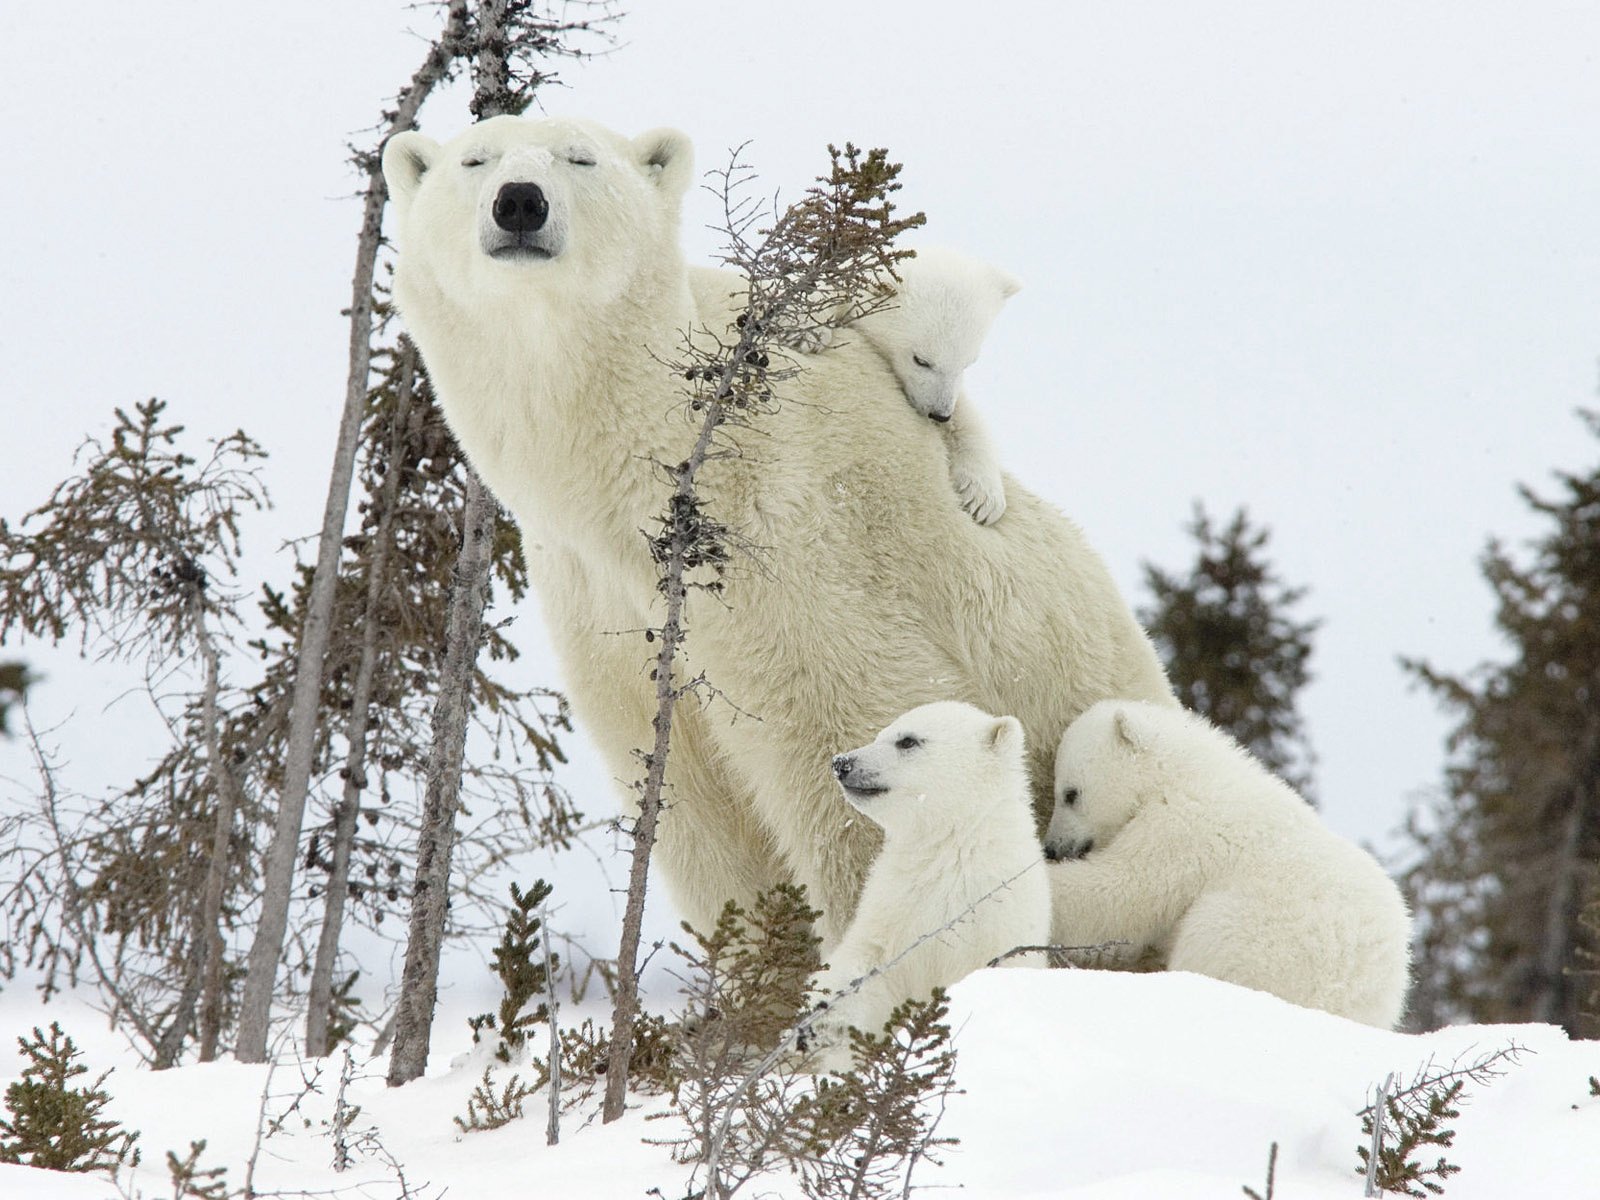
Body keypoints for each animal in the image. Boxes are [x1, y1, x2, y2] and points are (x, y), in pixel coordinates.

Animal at [380, 117, 1171, 947]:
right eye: (475, 160)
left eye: (580, 158)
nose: (520, 203)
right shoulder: (600, 602)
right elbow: (700, 819)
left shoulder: (792, 545)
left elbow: (854, 755)